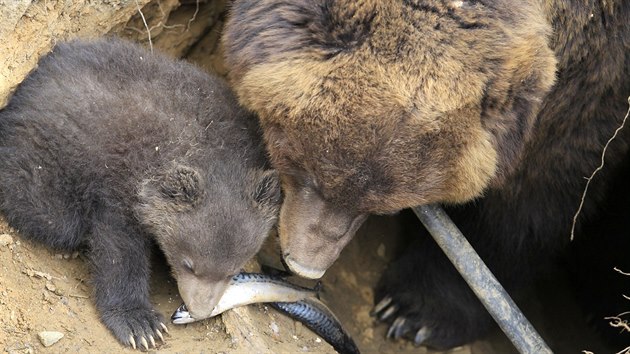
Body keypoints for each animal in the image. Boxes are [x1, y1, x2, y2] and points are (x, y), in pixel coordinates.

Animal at [225, 0, 628, 348]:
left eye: (384, 206)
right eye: (305, 168)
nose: (305, 264)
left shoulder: (583, 96)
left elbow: (522, 213)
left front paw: (411, 312)